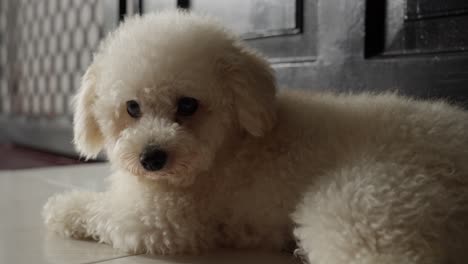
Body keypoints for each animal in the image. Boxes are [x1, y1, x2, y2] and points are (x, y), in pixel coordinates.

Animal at [43, 10, 468, 264]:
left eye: (188, 105)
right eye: (132, 107)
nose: (151, 158)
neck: (227, 146)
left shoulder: (159, 220)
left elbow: (99, 209)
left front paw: (64, 207)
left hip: (358, 205)